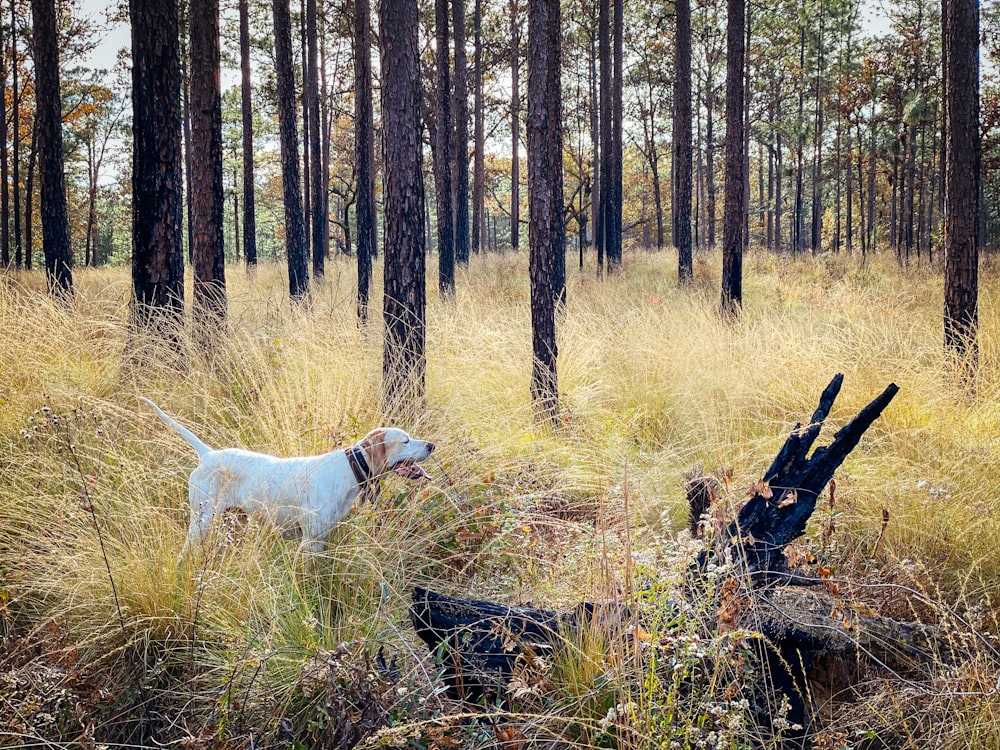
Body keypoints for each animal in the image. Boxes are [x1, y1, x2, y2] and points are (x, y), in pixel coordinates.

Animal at [142, 400, 434, 552]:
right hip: (202, 521)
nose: (431, 445)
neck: (348, 473)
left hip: (235, 522)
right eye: (406, 440)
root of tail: (208, 454)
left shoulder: (322, 538)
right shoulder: (310, 540)